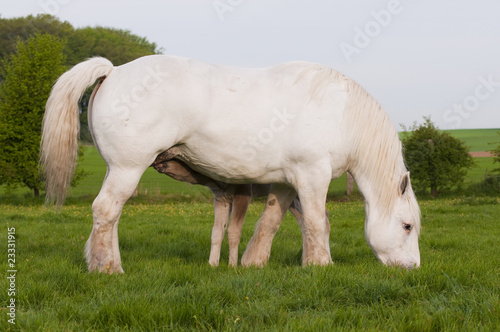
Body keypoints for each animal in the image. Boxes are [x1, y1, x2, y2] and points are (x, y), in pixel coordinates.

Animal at [41, 53, 420, 272]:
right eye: (407, 226)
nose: (412, 269)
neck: (341, 113)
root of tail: (113, 71)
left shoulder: (287, 182)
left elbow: (273, 222)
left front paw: (254, 262)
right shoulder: (313, 175)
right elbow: (316, 223)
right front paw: (320, 266)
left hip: (117, 170)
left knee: (111, 217)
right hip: (127, 168)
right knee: (105, 211)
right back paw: (106, 268)